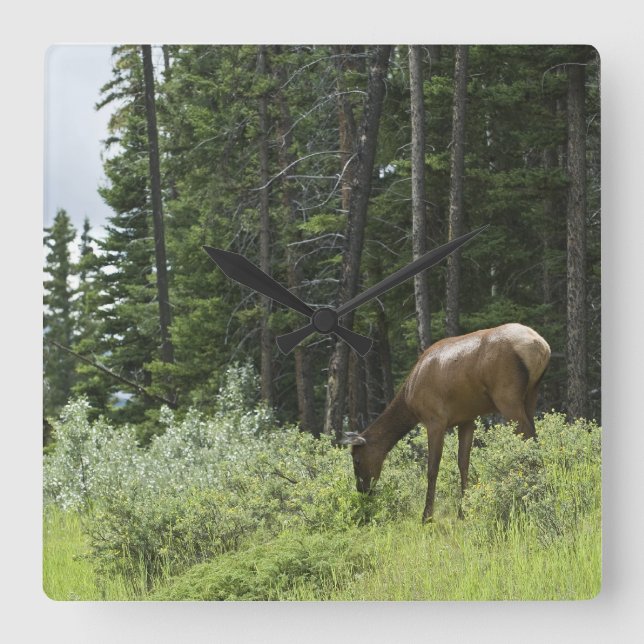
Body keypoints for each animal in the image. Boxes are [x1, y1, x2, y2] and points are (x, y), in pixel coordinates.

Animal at [340, 323, 551, 522]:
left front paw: (427, 516)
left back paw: (529, 494)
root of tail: (541, 346)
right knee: (534, 438)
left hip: (507, 396)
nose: (363, 490)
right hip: (531, 393)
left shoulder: (435, 420)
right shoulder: (467, 419)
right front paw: (463, 512)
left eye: (357, 460)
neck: (408, 399)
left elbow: (432, 469)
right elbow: (463, 463)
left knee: (528, 439)